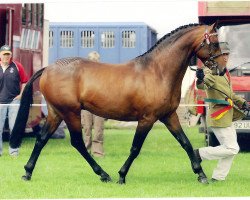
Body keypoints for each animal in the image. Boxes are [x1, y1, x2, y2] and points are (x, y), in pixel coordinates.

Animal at [9, 23, 225, 184]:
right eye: (214, 43)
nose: (222, 70)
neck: (157, 71)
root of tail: (48, 68)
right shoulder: (147, 119)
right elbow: (135, 148)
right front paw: (121, 175)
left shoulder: (168, 116)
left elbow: (185, 143)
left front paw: (201, 174)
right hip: (70, 113)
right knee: (77, 143)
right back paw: (103, 174)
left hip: (56, 113)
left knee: (41, 139)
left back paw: (27, 172)